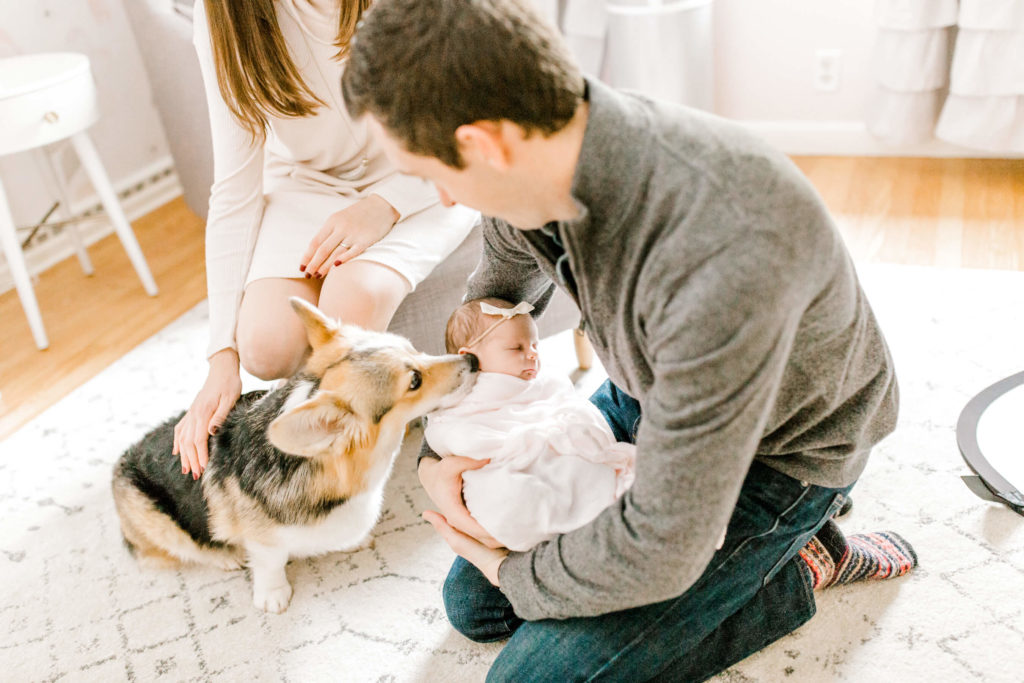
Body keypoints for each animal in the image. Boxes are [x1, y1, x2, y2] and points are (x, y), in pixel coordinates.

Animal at [112, 297, 478, 612]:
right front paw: (273, 595)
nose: (473, 360)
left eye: (416, 348)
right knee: (180, 549)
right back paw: (225, 556)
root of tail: (121, 461)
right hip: (153, 515)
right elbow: (270, 564)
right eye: (414, 381)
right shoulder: (264, 542)